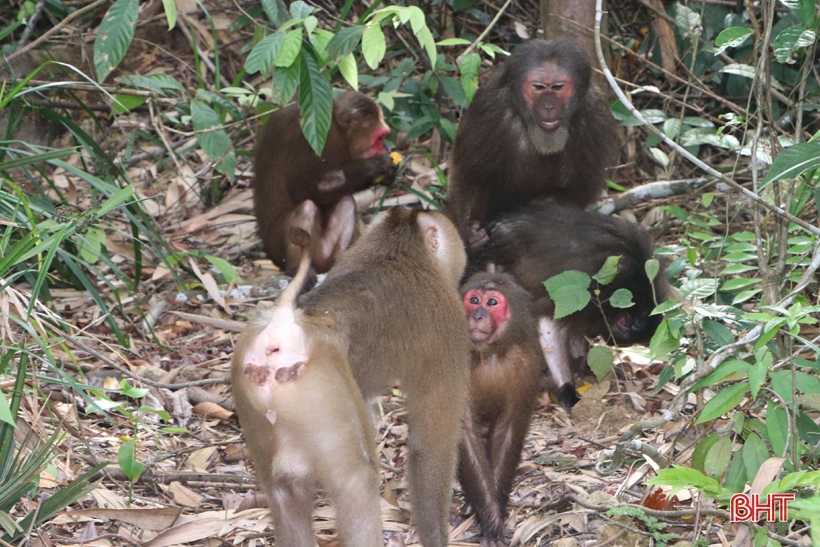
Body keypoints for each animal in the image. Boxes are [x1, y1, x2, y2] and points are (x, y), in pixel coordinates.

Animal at [446, 39, 620, 249]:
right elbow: (469, 174)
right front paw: (471, 231)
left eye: (558, 87)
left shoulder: (596, 114)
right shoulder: (488, 107)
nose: (548, 106)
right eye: (538, 87)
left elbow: (580, 189)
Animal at [458, 274, 540, 547]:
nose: (477, 315)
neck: (491, 352)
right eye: (474, 300)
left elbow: (508, 429)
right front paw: (490, 517)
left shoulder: (526, 363)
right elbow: (464, 432)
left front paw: (498, 506)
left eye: (492, 302)